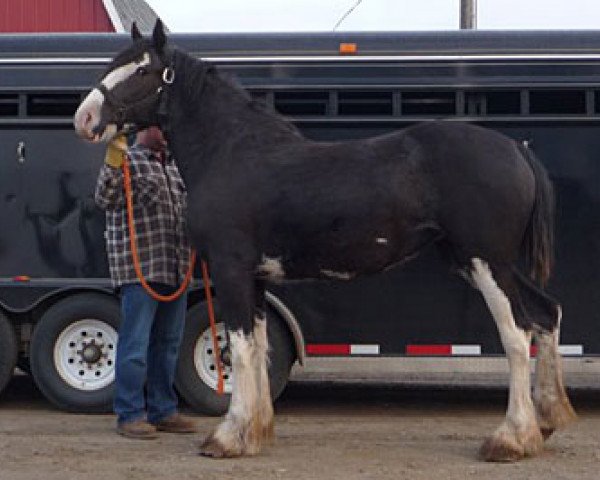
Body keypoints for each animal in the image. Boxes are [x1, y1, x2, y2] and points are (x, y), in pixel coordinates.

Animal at [72, 21, 576, 462]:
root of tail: (515, 149)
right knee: (546, 315)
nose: (85, 117)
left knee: (517, 334)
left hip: (487, 261)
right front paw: (256, 432)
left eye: (142, 70)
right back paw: (547, 421)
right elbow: (257, 347)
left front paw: (227, 438)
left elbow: (238, 350)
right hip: (487, 262)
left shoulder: (231, 270)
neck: (231, 152)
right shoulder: (255, 277)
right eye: (113, 63)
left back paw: (510, 439)